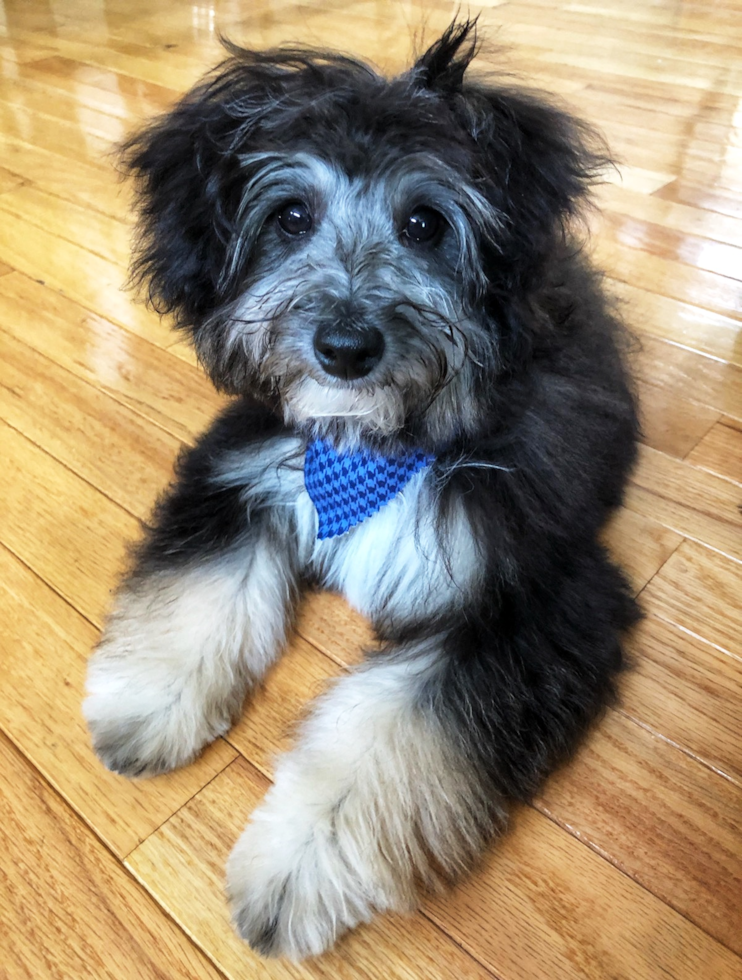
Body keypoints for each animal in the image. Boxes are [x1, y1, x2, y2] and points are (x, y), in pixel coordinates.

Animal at [80, 19, 640, 960]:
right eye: (290, 216)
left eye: (424, 223)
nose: (345, 347)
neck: (374, 443)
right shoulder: (242, 469)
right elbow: (198, 588)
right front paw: (147, 700)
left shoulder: (533, 595)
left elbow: (390, 732)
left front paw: (295, 869)